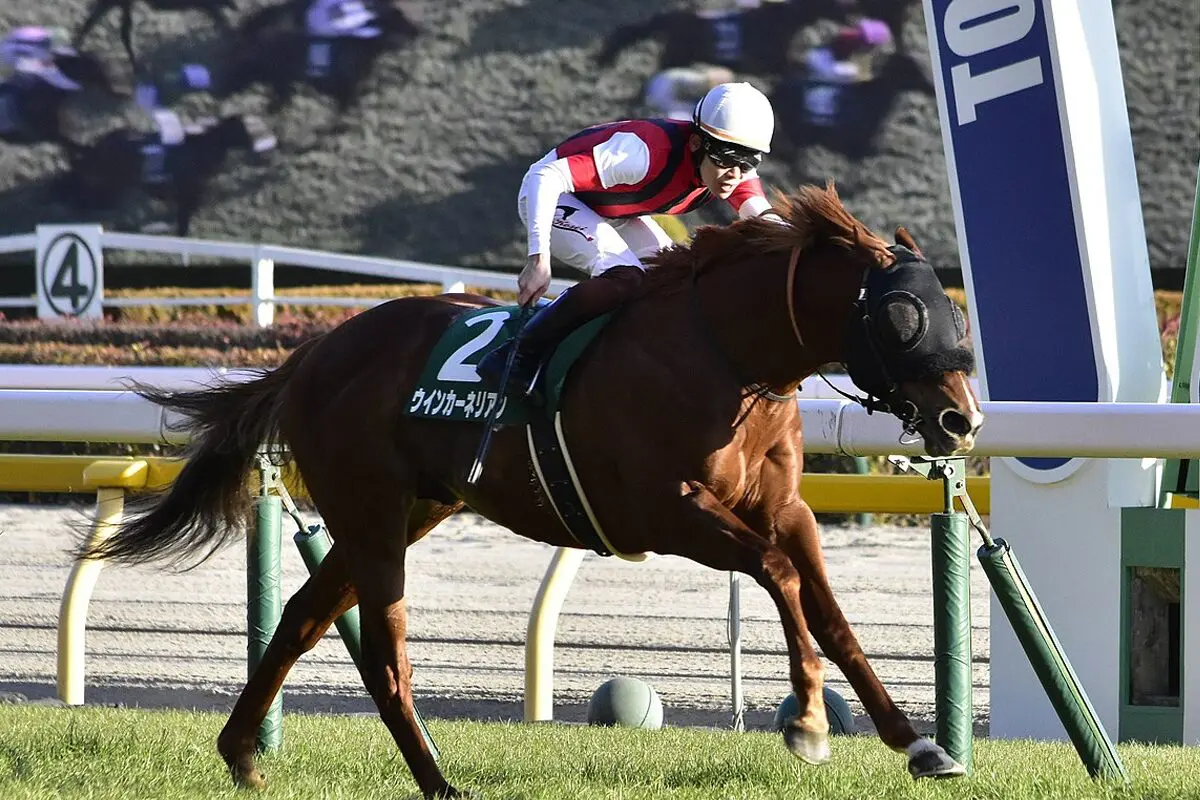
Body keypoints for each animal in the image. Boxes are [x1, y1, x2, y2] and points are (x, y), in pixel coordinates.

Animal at [58, 112, 275, 235]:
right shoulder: (188, 193)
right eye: (248, 129)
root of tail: (101, 144)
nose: (264, 153)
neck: (199, 148)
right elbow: (183, 223)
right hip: (108, 180)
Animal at [80, 183, 983, 799]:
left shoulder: (786, 508)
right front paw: (806, 724)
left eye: (951, 310)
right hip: (373, 514)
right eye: (904, 315)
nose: (961, 418)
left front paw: (919, 744)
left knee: (304, 617)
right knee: (385, 653)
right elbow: (782, 578)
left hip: (409, 510)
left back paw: (241, 755)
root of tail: (314, 352)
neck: (725, 351)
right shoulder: (666, 510)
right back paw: (439, 782)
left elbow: (829, 613)